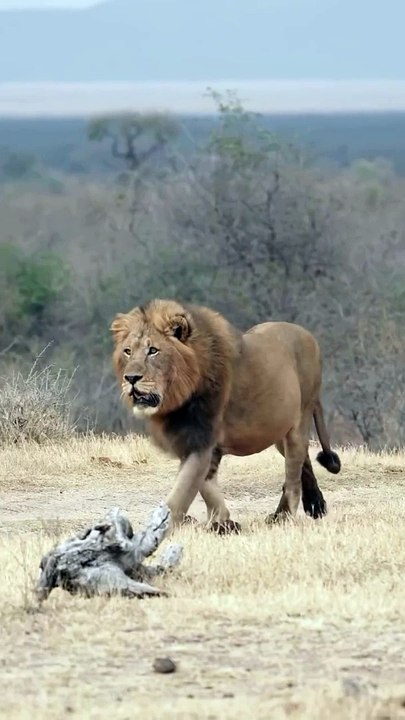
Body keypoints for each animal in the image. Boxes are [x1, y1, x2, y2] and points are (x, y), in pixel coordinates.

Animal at [111, 299, 341, 532]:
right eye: (128, 351)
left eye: (153, 351)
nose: (131, 378)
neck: (177, 399)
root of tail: (309, 335)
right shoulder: (194, 443)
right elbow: (206, 485)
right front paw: (223, 522)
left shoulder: (201, 440)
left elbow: (181, 493)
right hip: (277, 429)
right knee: (303, 459)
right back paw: (316, 505)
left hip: (299, 419)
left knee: (294, 472)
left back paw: (284, 515)